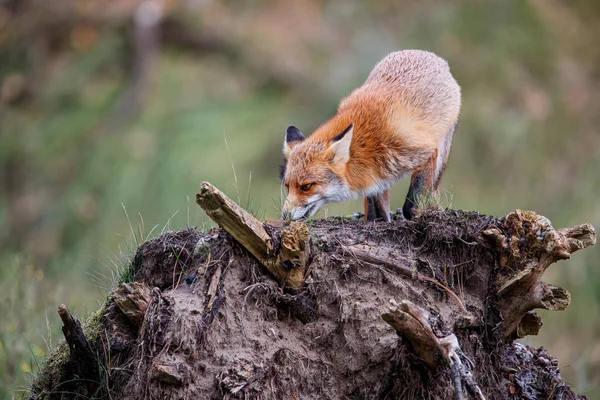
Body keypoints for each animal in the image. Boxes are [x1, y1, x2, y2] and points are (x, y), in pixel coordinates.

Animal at [280, 50, 460, 222]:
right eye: (287, 186)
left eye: (307, 186)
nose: (285, 215)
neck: (367, 142)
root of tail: (423, 53)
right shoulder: (376, 178)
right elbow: (379, 210)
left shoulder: (423, 151)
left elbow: (412, 204)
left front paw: (417, 216)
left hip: (443, 150)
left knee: (434, 187)